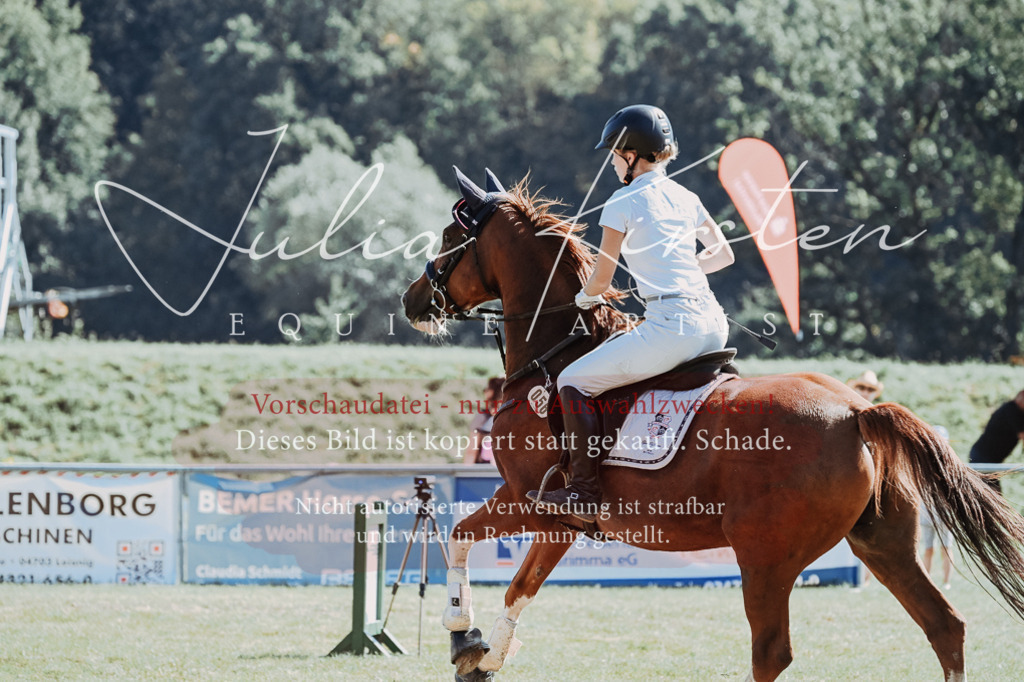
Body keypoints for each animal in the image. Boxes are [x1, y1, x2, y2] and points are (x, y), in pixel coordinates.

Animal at [400, 167, 1024, 681]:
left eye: (450, 239)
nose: (411, 301)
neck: (551, 355)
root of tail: (855, 412)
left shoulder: (542, 507)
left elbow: (504, 576)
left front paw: (470, 641)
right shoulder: (532, 505)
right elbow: (466, 541)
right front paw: (469, 640)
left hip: (766, 556)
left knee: (772, 652)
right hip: (881, 542)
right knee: (944, 626)